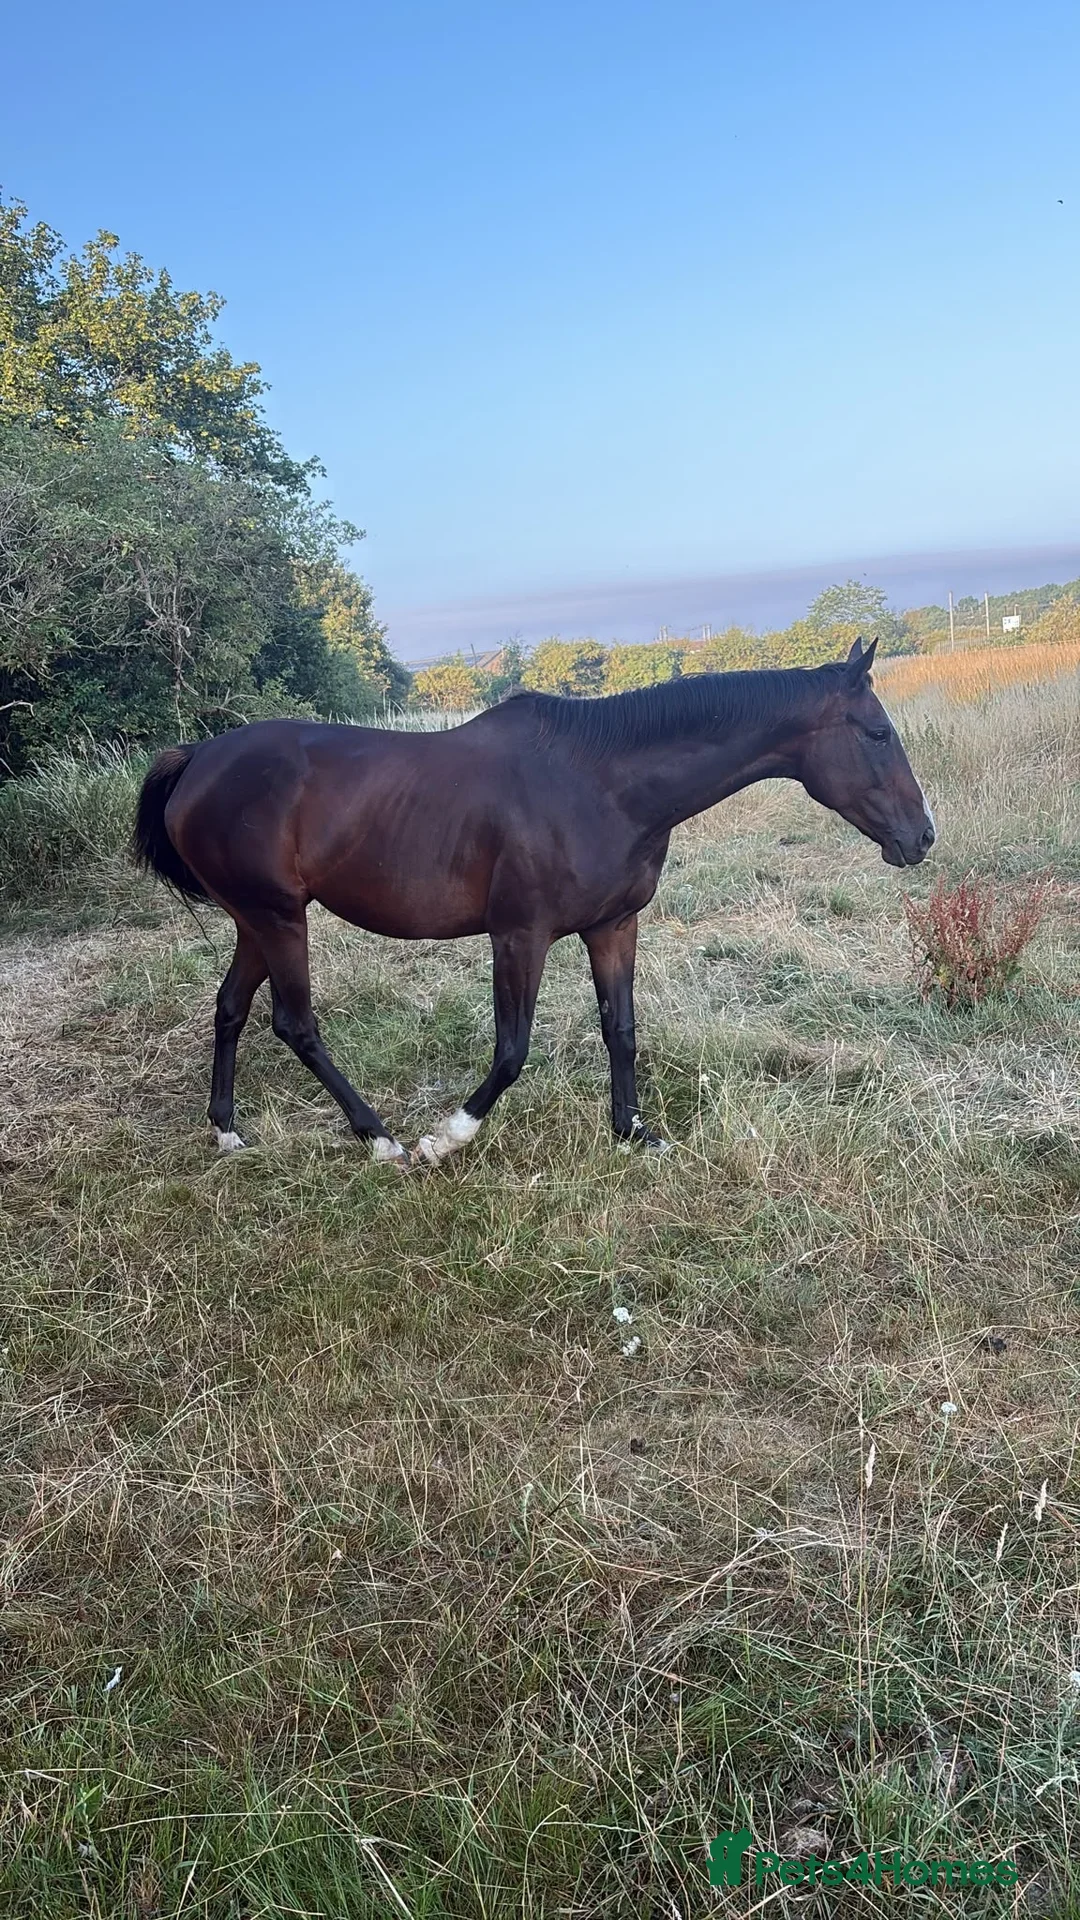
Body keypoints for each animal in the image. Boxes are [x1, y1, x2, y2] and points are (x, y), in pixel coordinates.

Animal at [132, 637, 934, 1168]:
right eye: (877, 732)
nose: (921, 837)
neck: (601, 782)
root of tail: (197, 759)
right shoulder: (520, 935)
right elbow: (513, 1050)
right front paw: (447, 1136)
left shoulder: (613, 926)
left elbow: (622, 1030)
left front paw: (633, 1132)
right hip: (278, 918)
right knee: (295, 1024)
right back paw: (381, 1137)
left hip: (257, 919)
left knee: (229, 1008)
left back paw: (227, 1130)